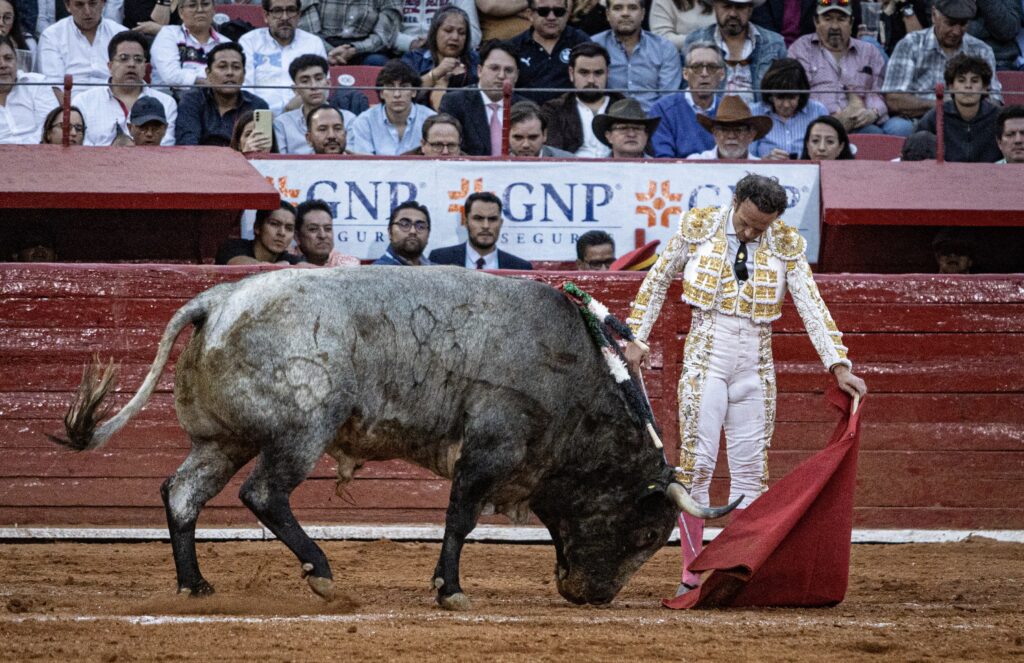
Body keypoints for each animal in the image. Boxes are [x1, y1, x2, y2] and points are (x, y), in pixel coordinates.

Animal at [54, 266, 737, 610]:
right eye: (647, 534)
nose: (592, 599)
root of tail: (217, 299)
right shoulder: (487, 450)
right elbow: (459, 520)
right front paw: (451, 591)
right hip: (302, 430)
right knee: (264, 495)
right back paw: (321, 571)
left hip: (224, 440)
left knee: (182, 493)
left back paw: (194, 586)